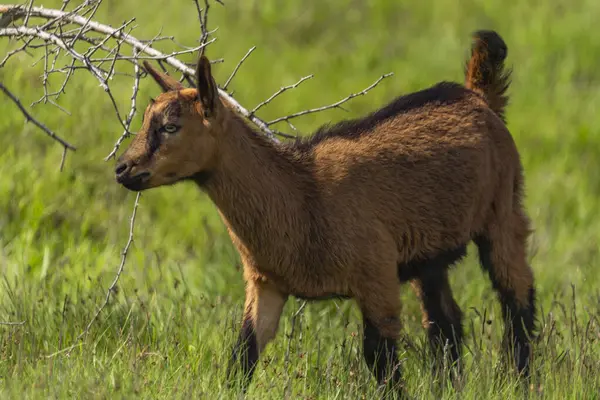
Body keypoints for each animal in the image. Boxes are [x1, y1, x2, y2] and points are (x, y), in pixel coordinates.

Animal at [115, 29, 536, 396]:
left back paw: (520, 382)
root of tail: (476, 95)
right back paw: (450, 386)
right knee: (445, 322)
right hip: (428, 254)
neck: (303, 196)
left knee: (518, 300)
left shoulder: (377, 276)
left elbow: (380, 357)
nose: (122, 169)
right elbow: (243, 353)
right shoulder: (266, 283)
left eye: (170, 127)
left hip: (503, 213)